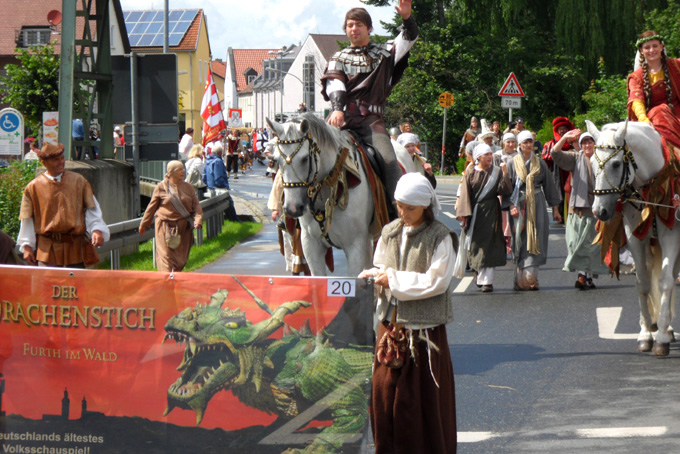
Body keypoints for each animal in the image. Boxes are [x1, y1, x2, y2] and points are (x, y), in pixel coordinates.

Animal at [588, 119, 676, 356]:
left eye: (617, 164)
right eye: (591, 163)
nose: (599, 211)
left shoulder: (671, 236)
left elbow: (666, 282)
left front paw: (661, 338)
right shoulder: (635, 235)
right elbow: (642, 283)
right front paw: (646, 334)